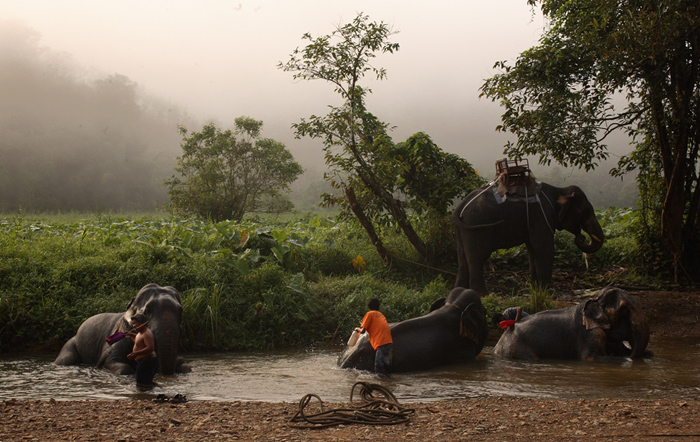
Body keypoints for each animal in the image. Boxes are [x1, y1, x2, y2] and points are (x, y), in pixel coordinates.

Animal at [54, 284, 190, 374]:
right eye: (147, 311)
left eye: (180, 311)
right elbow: (116, 364)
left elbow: (186, 368)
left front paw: (181, 364)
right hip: (70, 344)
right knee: (65, 359)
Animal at [452, 178, 604, 296]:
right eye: (586, 212)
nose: (581, 237)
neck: (558, 190)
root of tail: (460, 207)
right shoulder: (541, 216)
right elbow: (544, 248)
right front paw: (545, 291)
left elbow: (532, 250)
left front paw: (535, 288)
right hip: (477, 228)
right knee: (477, 258)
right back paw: (482, 295)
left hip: (463, 230)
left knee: (463, 259)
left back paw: (458, 291)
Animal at [492, 286, 652, 362]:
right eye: (624, 310)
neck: (593, 299)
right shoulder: (589, 334)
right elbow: (591, 358)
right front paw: (627, 359)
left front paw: (647, 354)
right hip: (517, 349)